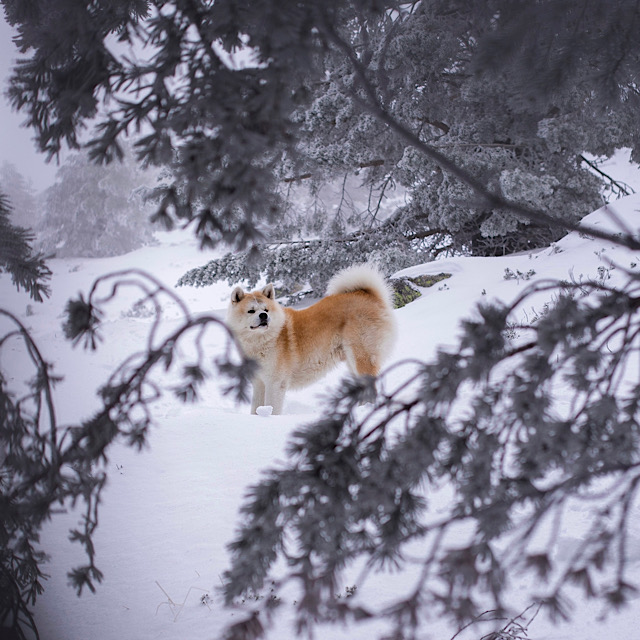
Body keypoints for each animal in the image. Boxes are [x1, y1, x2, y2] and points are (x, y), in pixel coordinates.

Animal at [225, 264, 396, 416]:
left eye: (266, 309)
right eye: (251, 311)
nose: (263, 316)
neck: (261, 341)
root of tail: (368, 295)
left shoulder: (275, 383)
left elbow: (272, 408)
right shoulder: (259, 383)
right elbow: (256, 408)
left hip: (361, 357)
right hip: (352, 361)